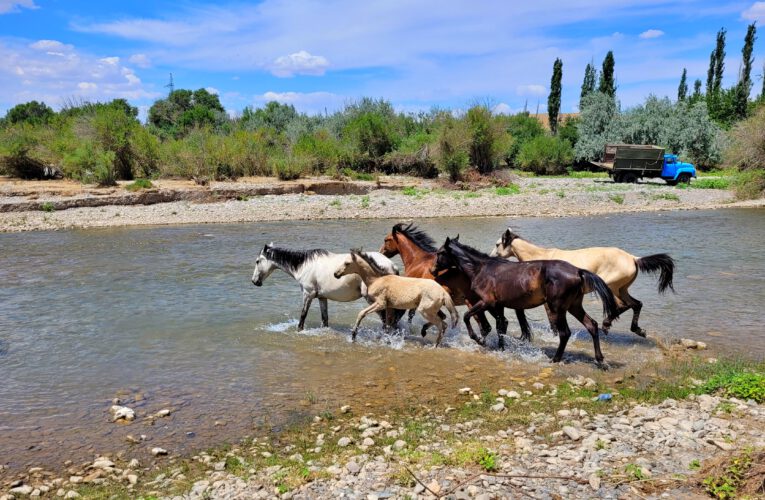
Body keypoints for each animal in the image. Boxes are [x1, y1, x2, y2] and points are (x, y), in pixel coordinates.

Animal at [252, 243, 400, 330]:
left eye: (258, 261)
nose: (254, 281)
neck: (305, 266)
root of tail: (391, 265)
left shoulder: (308, 295)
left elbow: (302, 317)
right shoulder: (322, 297)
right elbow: (324, 319)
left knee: (385, 319)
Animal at [430, 236, 620, 370]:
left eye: (440, 253)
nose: (432, 270)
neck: (481, 269)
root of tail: (578, 271)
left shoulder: (487, 302)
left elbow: (467, 316)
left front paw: (479, 339)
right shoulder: (498, 305)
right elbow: (500, 326)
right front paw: (500, 348)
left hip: (558, 308)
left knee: (565, 333)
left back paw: (555, 359)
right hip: (574, 306)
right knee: (592, 325)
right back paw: (600, 361)